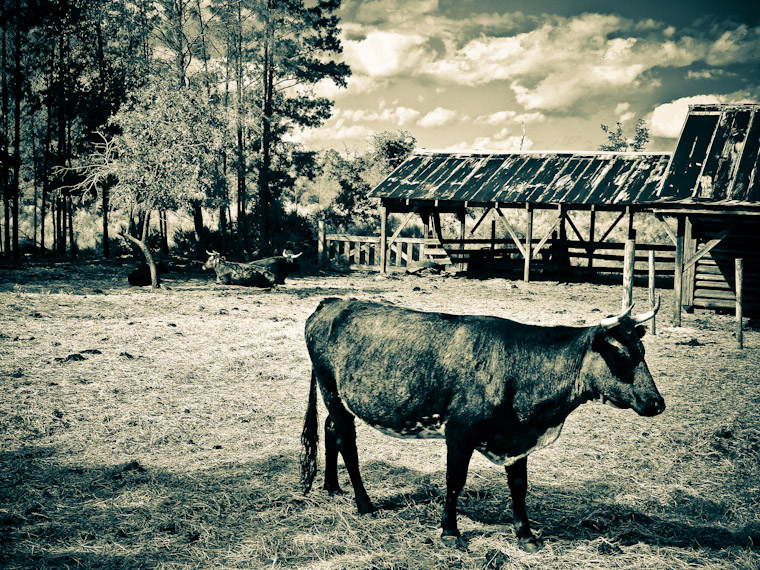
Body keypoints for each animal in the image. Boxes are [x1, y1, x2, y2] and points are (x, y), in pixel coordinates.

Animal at [300, 298, 664, 552]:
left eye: (643, 350)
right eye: (621, 355)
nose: (657, 403)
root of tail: (332, 303)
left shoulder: (517, 440)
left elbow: (519, 486)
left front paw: (525, 535)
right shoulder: (460, 433)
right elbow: (454, 481)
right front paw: (450, 532)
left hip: (337, 396)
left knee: (331, 431)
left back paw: (332, 486)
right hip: (331, 390)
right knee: (347, 441)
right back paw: (364, 504)